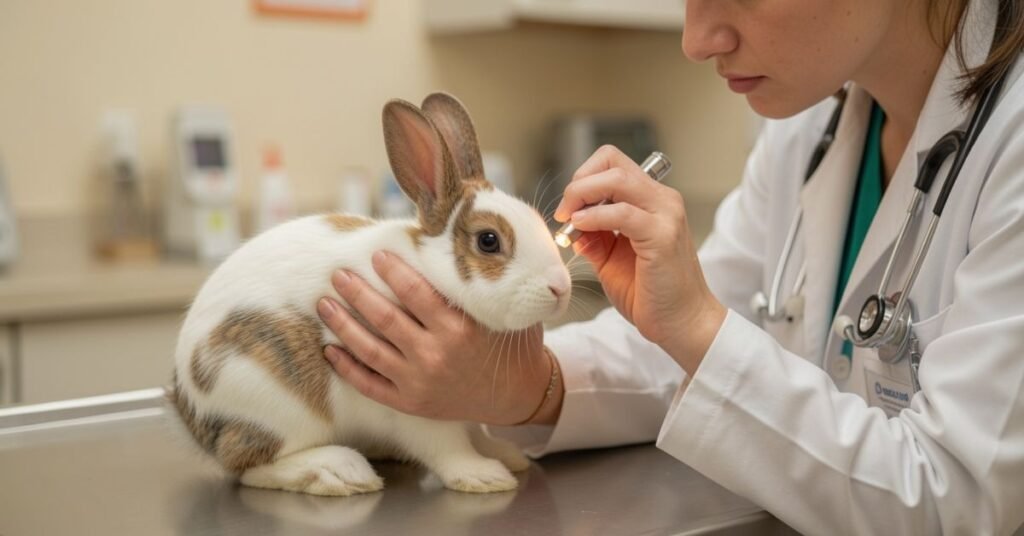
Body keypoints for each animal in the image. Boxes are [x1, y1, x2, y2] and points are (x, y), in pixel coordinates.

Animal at [168, 92, 572, 497]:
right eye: (489, 241)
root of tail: (188, 409)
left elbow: (475, 432)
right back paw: (338, 471)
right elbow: (447, 446)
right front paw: (483, 476)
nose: (561, 287)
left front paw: (506, 455)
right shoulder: (418, 406)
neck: (430, 270)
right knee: (246, 463)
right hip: (273, 401)